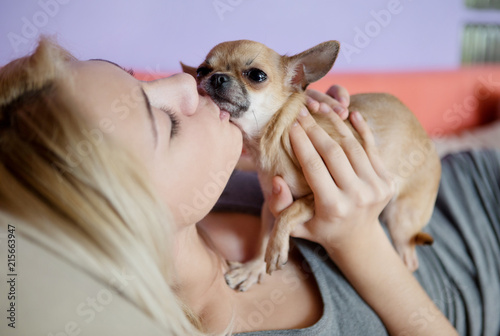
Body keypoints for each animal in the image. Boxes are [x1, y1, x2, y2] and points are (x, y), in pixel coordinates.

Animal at [182, 40, 440, 292]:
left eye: (256, 75)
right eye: (201, 71)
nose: (217, 77)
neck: (271, 139)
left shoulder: (319, 197)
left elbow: (289, 212)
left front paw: (276, 250)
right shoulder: (270, 204)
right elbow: (264, 235)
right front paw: (254, 267)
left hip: (401, 218)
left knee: (409, 254)